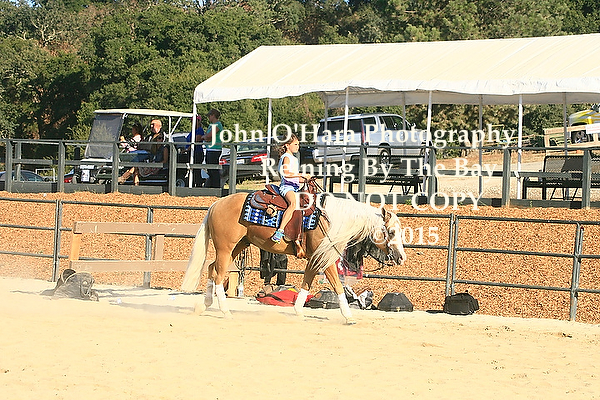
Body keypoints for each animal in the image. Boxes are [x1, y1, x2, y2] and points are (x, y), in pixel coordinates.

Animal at [181, 190, 406, 324]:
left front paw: (298, 310)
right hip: (226, 247)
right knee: (219, 275)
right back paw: (225, 311)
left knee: (212, 269)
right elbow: (337, 286)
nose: (401, 257)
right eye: (391, 232)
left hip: (238, 246)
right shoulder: (325, 259)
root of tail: (216, 204)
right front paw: (348, 316)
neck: (331, 220)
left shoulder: (315, 258)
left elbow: (307, 282)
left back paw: (204, 305)